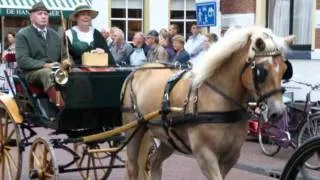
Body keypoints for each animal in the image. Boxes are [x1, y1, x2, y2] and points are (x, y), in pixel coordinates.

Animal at [121, 26, 294, 179]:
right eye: (262, 71)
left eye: (285, 69)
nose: (278, 112)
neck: (219, 100)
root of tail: (137, 70)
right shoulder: (205, 154)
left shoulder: (231, 156)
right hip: (134, 131)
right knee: (132, 167)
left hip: (168, 139)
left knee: (155, 163)